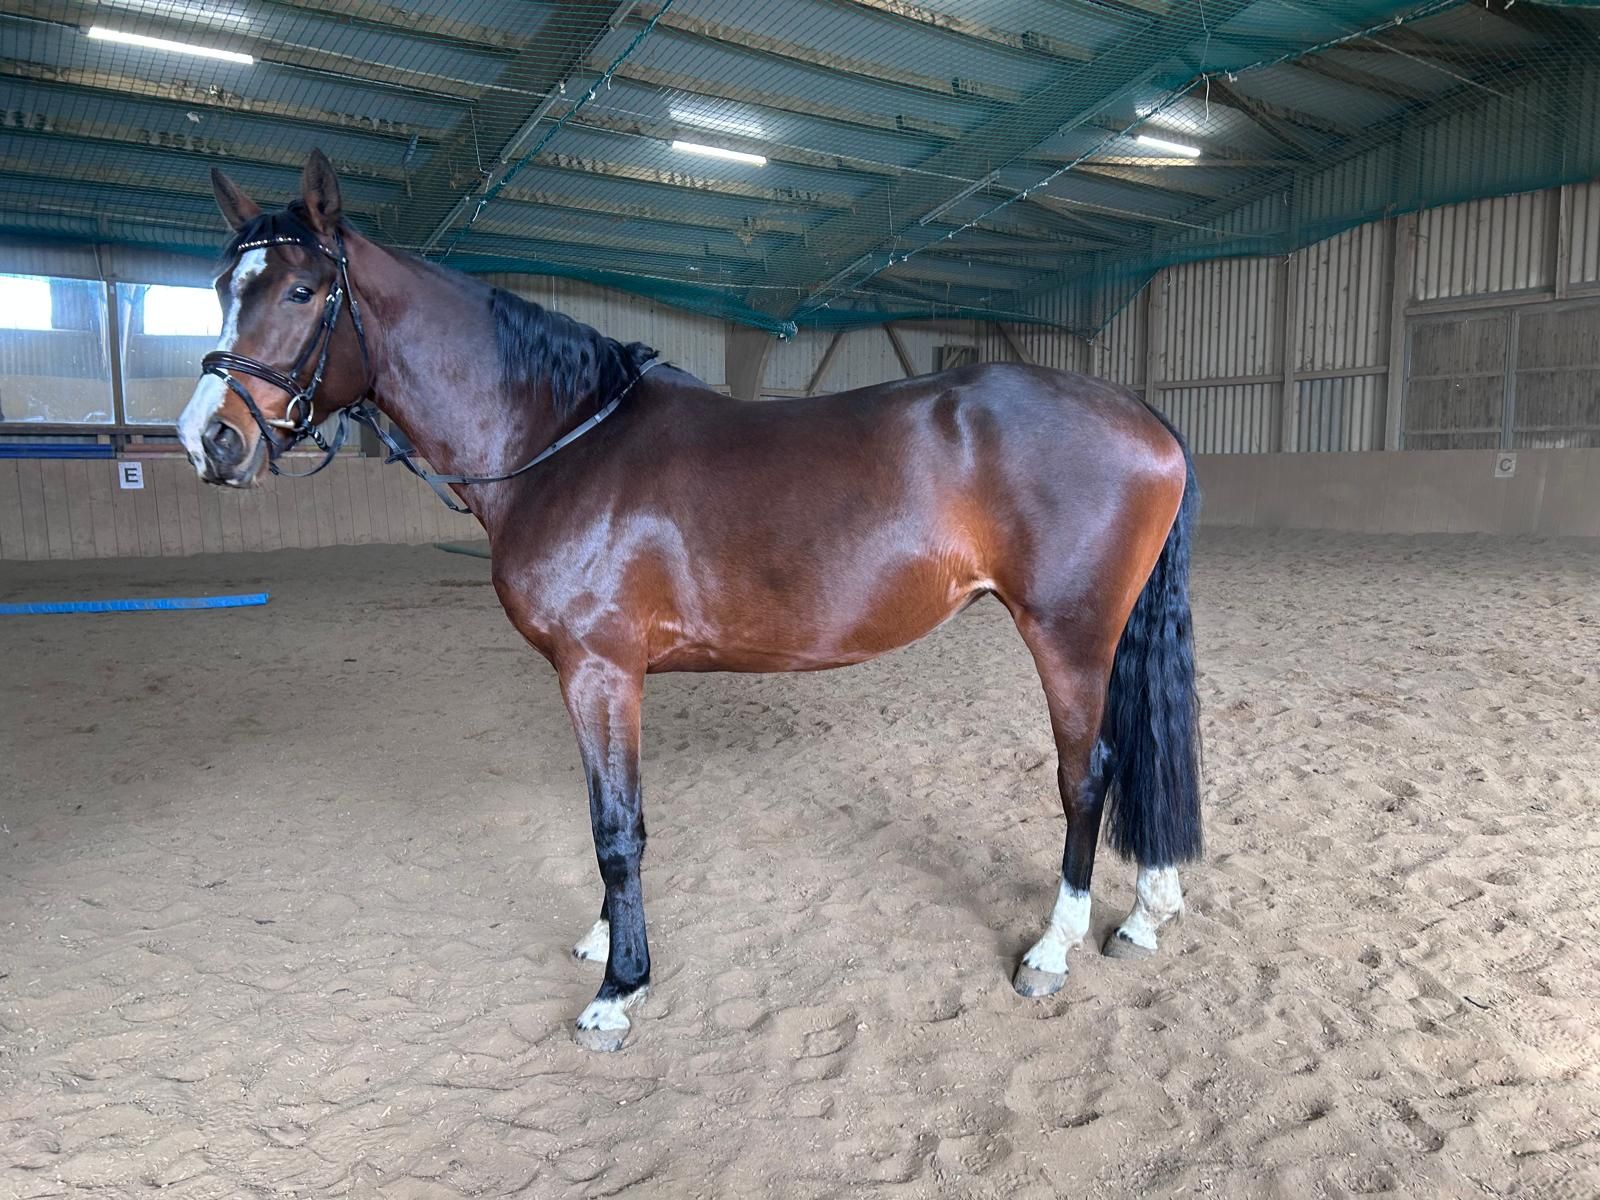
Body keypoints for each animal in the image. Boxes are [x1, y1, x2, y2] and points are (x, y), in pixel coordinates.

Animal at [178, 151, 1203, 1052]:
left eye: (303, 292)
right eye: (225, 285)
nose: (208, 441)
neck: (563, 438)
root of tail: (1141, 415)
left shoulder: (598, 672)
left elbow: (615, 828)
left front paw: (617, 989)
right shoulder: (603, 677)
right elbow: (609, 818)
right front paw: (604, 938)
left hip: (1069, 635)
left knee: (1088, 771)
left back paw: (1053, 949)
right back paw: (1145, 915)